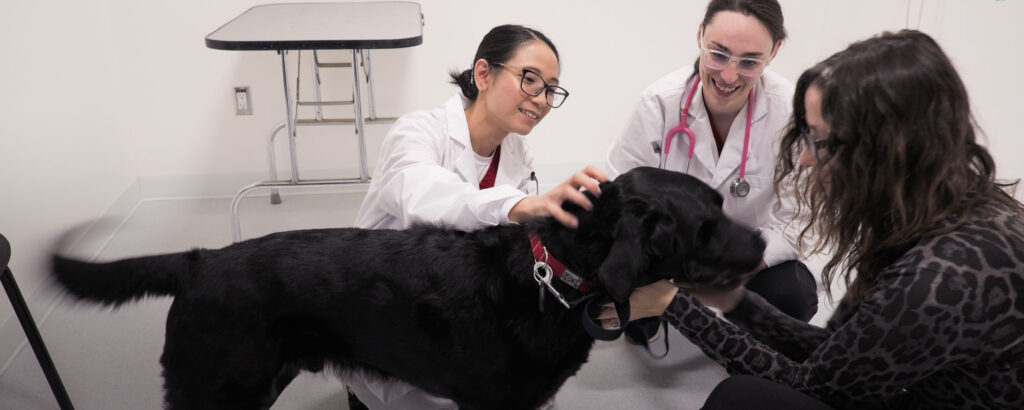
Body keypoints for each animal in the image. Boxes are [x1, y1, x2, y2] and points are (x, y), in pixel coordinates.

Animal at [51, 166, 765, 410]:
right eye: (707, 224)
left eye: (721, 203)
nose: (762, 244)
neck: (550, 278)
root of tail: (200, 259)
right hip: (215, 389)